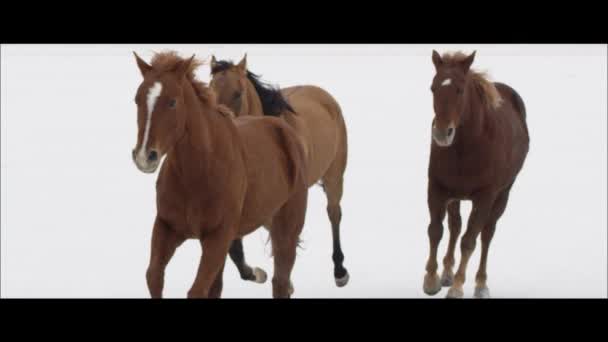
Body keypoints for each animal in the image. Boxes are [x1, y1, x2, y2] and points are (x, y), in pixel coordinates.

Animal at [129, 49, 308, 298]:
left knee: (280, 281)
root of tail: (285, 130)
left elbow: (197, 290)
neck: (200, 172)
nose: (145, 157)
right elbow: (154, 276)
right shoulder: (167, 227)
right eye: (137, 99)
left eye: (173, 102)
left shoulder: (217, 238)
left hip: (287, 228)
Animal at [209, 54, 352, 288]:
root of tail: (323, 94)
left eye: (238, 93)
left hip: (334, 176)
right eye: (208, 90)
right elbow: (235, 249)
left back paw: (339, 271)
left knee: (334, 213)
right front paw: (256, 273)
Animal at [420, 49, 528, 298]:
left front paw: (458, 287)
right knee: (455, 226)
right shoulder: (437, 188)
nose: (441, 134)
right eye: (433, 88)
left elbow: (469, 241)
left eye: (460, 89)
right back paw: (447, 272)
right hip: (455, 196)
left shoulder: (484, 197)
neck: (468, 147)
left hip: (502, 195)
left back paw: (480, 284)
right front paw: (432, 279)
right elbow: (435, 230)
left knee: (486, 234)